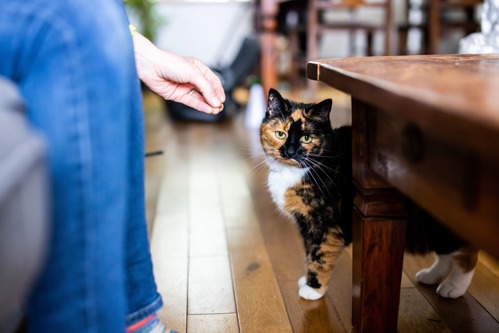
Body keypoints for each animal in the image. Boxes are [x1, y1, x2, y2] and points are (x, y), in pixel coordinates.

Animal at [260, 88, 478, 300]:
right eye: (280, 134)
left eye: (306, 138)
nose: (289, 151)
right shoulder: (306, 226)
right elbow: (309, 253)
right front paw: (307, 281)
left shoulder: (325, 225)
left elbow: (319, 256)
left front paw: (314, 289)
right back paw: (431, 276)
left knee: (466, 251)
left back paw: (453, 287)